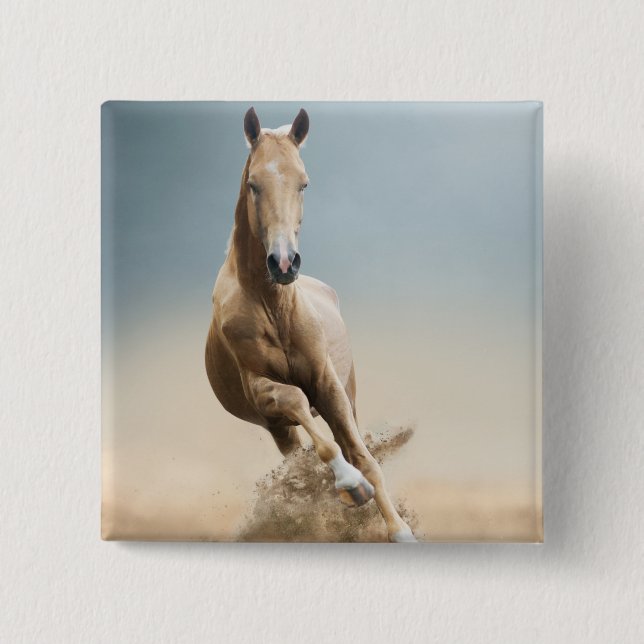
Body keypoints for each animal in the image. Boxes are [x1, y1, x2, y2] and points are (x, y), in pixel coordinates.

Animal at [205, 107, 416, 542]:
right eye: (253, 184)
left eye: (303, 183)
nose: (284, 263)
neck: (273, 306)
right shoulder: (261, 390)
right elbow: (297, 405)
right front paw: (351, 486)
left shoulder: (328, 384)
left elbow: (364, 458)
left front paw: (400, 530)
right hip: (277, 428)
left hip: (347, 396)